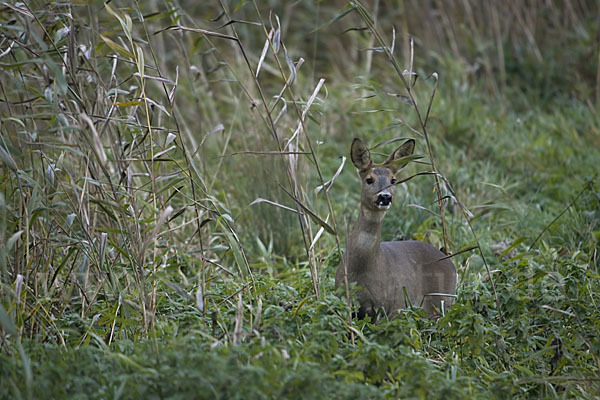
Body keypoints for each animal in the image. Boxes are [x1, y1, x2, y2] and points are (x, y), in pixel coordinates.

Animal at [336, 138, 458, 318]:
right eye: (369, 179)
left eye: (393, 180)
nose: (385, 197)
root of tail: (450, 263)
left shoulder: (388, 305)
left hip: (441, 301)